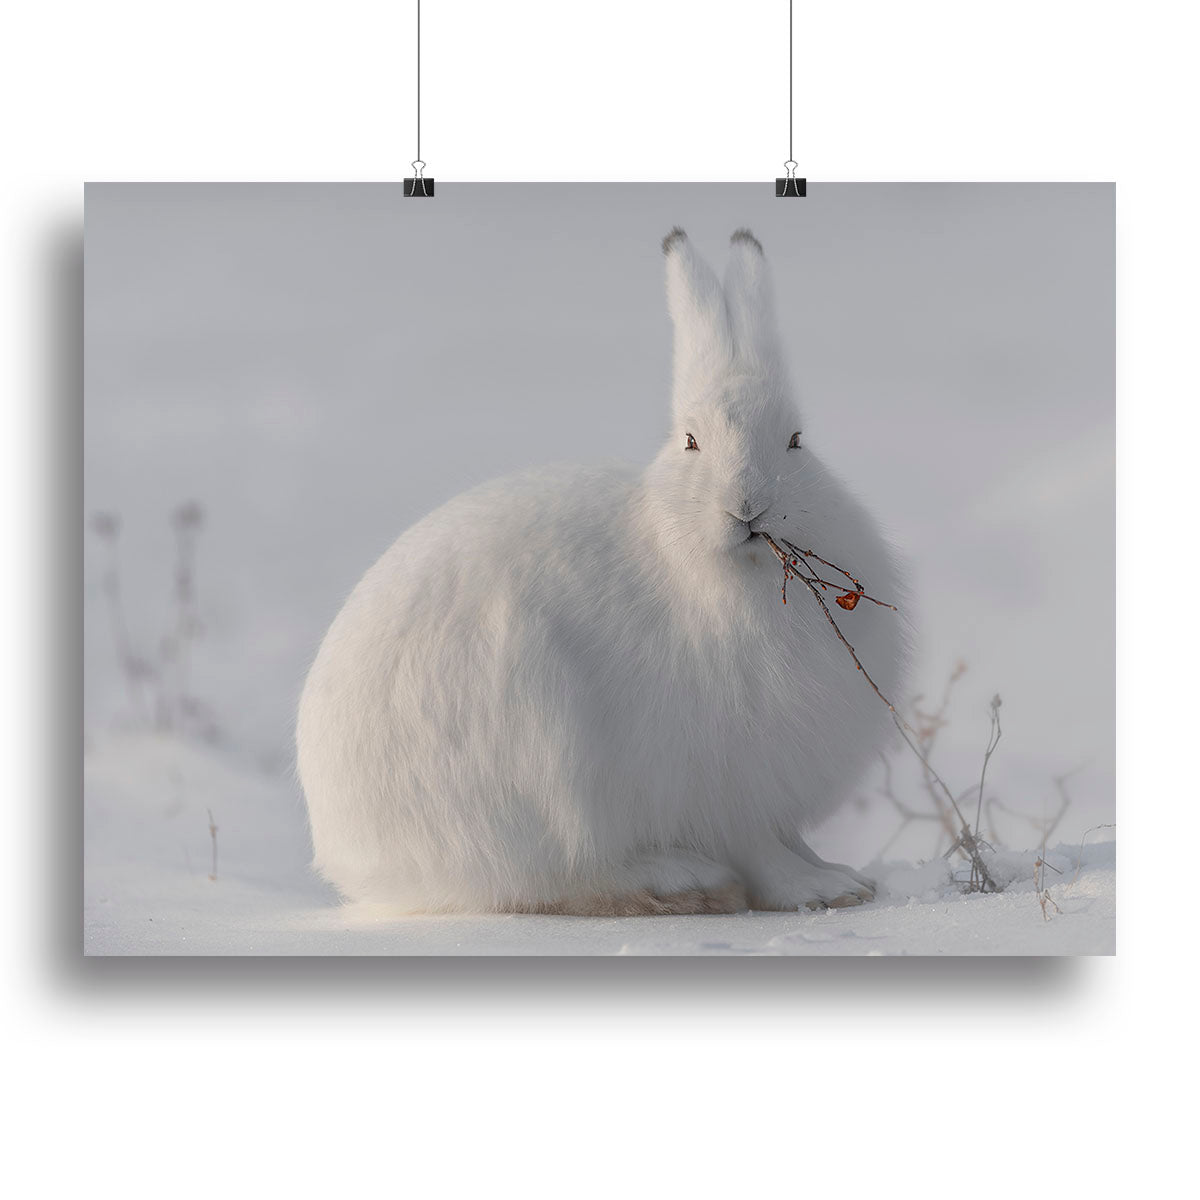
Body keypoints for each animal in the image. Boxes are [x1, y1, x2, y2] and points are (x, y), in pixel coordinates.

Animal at [296, 227, 909, 915]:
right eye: (691, 441)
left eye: (797, 441)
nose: (748, 506)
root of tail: (350, 855)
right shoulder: (722, 783)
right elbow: (760, 851)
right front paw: (819, 891)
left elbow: (790, 840)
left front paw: (846, 878)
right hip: (539, 760)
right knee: (561, 876)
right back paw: (683, 878)